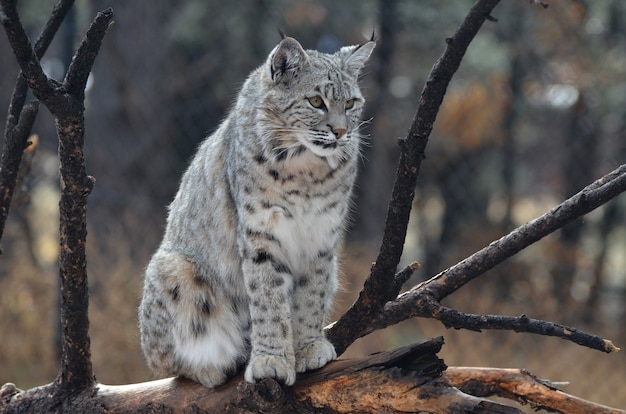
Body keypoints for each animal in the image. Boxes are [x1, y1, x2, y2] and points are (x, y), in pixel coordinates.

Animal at [139, 35, 372, 388]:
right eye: (316, 102)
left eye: (350, 104)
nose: (341, 133)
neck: (307, 170)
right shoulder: (261, 234)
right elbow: (268, 298)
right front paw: (271, 360)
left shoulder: (321, 236)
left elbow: (311, 294)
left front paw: (307, 347)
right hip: (173, 267)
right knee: (164, 363)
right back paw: (211, 366)